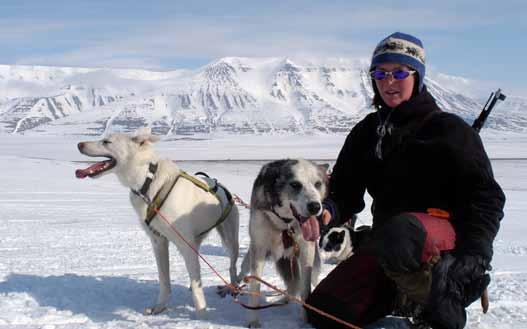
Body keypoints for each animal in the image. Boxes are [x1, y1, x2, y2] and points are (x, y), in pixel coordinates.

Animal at [75, 127, 240, 316]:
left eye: (106, 142)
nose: (79, 144)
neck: (148, 181)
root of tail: (222, 188)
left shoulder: (185, 244)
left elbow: (196, 283)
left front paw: (201, 313)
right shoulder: (158, 241)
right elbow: (164, 279)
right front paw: (160, 306)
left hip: (229, 240)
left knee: (232, 267)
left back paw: (232, 288)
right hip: (196, 241)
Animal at [239, 158, 330, 326]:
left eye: (317, 184)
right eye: (295, 184)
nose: (315, 206)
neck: (284, 224)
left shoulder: (306, 250)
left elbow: (305, 288)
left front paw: (304, 321)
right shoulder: (259, 248)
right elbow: (255, 285)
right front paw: (253, 321)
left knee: (297, 283)